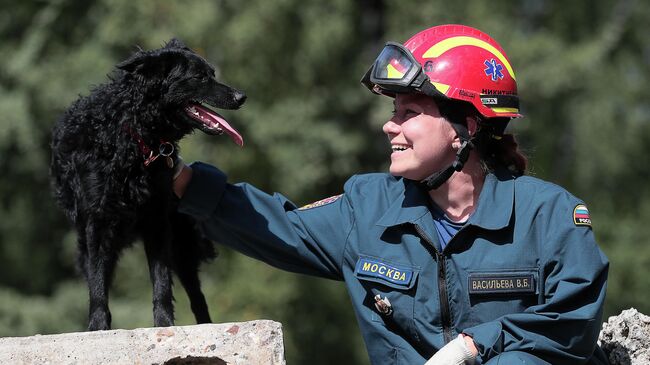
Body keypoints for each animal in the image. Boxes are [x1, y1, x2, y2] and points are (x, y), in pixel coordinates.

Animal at [49, 39, 244, 330]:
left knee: (197, 297)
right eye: (199, 77)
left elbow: (161, 280)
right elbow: (97, 283)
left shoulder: (157, 219)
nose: (241, 97)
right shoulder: (97, 222)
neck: (134, 137)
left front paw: (164, 324)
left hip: (181, 245)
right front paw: (98, 326)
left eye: (212, 73)